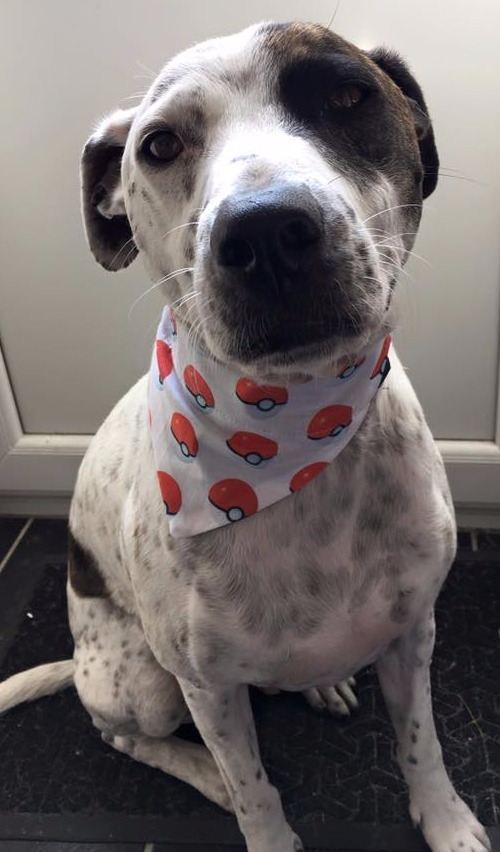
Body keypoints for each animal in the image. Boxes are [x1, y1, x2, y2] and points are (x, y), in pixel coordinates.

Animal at [0, 23, 492, 852]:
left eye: (347, 95)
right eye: (160, 145)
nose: (265, 232)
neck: (293, 442)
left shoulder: (412, 632)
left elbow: (422, 743)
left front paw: (448, 823)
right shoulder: (210, 690)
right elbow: (255, 791)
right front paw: (256, 817)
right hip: (144, 682)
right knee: (124, 736)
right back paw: (202, 776)